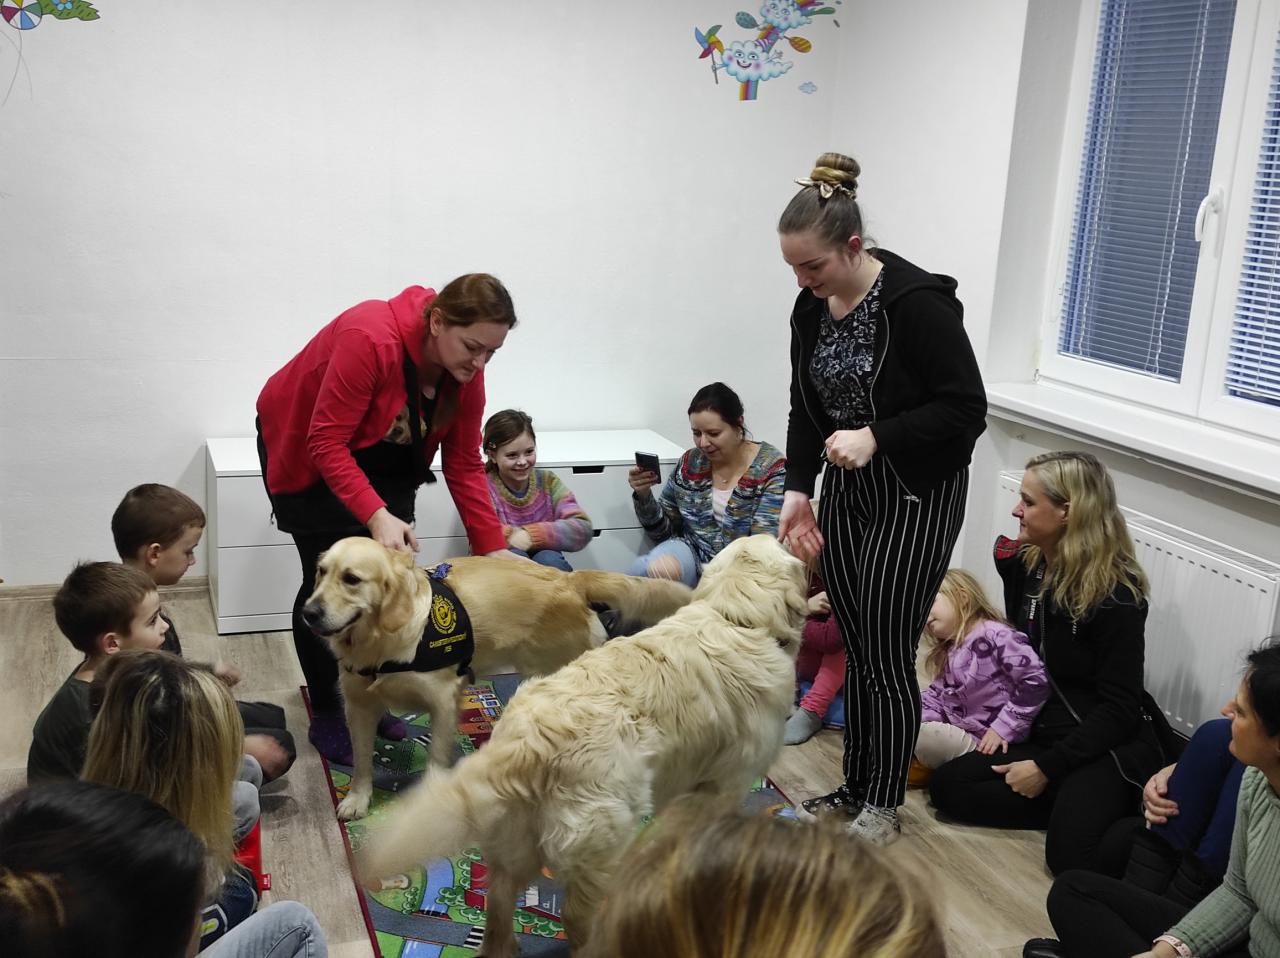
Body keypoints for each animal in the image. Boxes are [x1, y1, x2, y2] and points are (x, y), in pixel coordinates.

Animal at [300, 537, 693, 821]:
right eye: (320, 572)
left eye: (352, 579)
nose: (308, 612)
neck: (384, 642)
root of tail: (570, 579)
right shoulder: (359, 706)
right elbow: (362, 760)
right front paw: (358, 798)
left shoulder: (443, 701)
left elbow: (435, 760)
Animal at [354, 534, 809, 956]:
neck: (735, 617)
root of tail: (526, 743)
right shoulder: (726, 784)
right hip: (602, 841)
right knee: (575, 916)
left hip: (515, 844)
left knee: (499, 899)